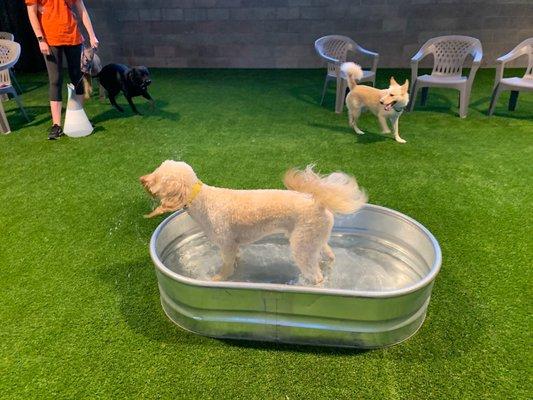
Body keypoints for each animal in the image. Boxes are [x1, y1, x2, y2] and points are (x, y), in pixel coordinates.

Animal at [140, 160, 366, 284]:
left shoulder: (226, 243)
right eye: (156, 170)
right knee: (328, 254)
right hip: (315, 238)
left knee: (315, 274)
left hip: (302, 243)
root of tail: (319, 202)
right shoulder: (234, 244)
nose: (142, 179)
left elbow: (226, 266)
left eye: (156, 177)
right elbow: (235, 259)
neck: (202, 200)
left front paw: (220, 279)